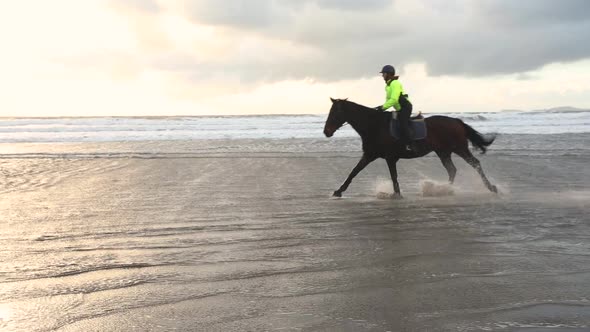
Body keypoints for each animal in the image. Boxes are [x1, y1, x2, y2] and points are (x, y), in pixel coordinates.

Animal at [324, 98, 500, 197]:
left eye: (335, 113)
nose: (326, 132)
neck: (374, 125)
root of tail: (456, 121)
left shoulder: (389, 158)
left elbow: (394, 176)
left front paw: (396, 194)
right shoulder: (369, 155)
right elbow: (353, 172)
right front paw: (339, 191)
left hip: (459, 148)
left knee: (475, 163)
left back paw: (491, 187)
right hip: (443, 152)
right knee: (452, 169)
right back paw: (444, 189)